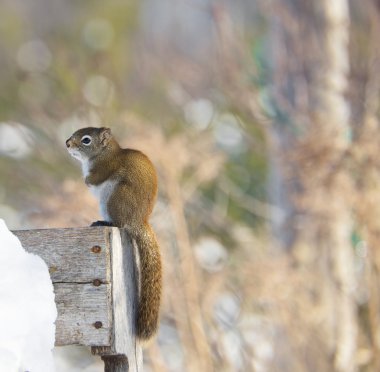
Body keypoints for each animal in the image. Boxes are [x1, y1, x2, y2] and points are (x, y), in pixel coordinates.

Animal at [67, 126, 162, 342]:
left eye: (86, 140)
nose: (67, 143)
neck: (104, 152)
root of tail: (138, 222)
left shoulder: (106, 167)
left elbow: (96, 178)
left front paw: (87, 181)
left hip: (117, 198)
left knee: (119, 223)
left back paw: (104, 222)